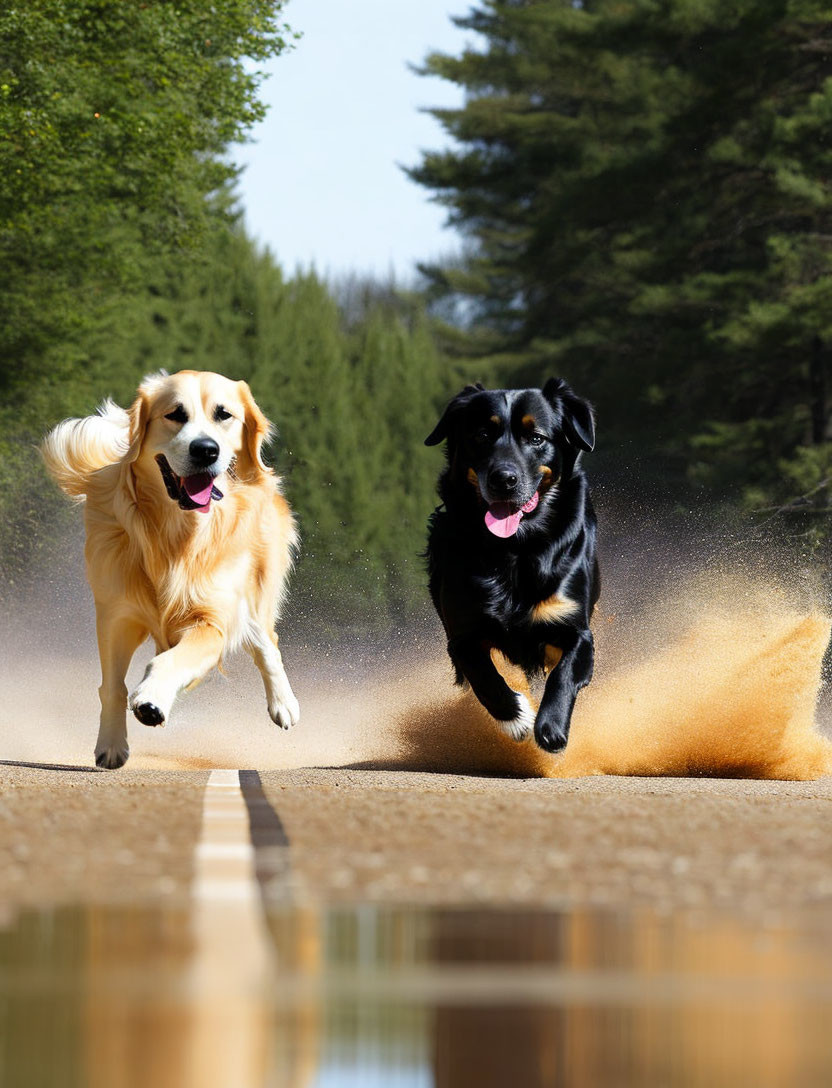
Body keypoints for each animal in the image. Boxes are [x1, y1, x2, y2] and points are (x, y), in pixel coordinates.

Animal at [421, 378, 595, 752]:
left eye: (536, 438)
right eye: (482, 435)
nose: (504, 479)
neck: (514, 547)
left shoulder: (573, 625)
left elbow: (563, 674)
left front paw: (550, 727)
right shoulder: (463, 631)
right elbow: (484, 677)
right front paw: (517, 718)